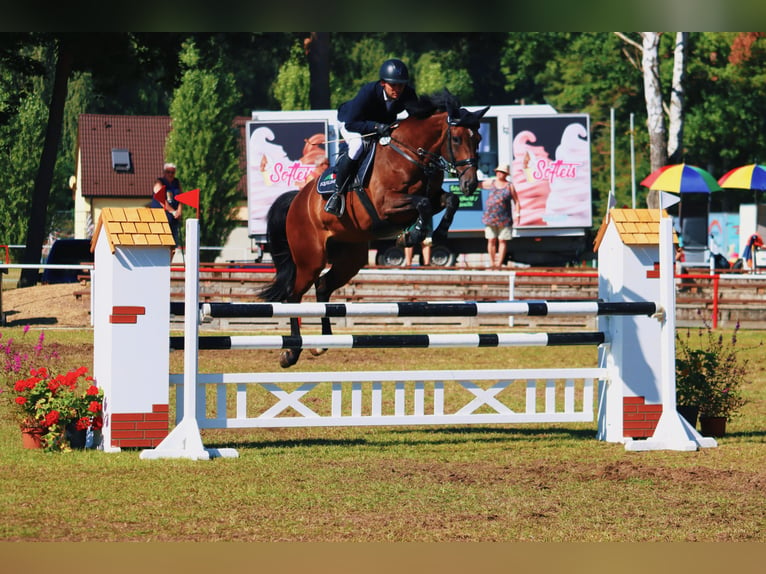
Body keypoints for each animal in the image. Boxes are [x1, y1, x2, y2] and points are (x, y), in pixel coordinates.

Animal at [256, 90, 486, 368]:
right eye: (456, 138)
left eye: (478, 139)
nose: (470, 184)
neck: (411, 155)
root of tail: (297, 201)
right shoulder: (386, 204)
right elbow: (421, 204)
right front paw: (411, 235)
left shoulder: (432, 197)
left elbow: (448, 201)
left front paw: (435, 233)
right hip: (310, 258)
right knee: (294, 295)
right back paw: (291, 352)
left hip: (350, 258)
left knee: (323, 286)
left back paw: (323, 343)